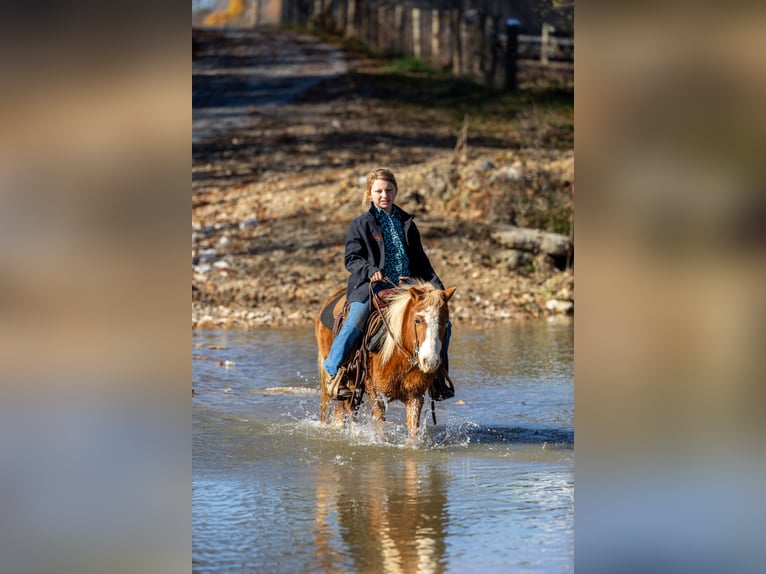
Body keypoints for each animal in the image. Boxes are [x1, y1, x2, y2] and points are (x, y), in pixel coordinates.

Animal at [315, 280, 456, 445]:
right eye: (417, 320)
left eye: (445, 322)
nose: (430, 361)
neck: (399, 358)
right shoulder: (378, 397)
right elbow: (381, 433)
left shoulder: (415, 397)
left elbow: (413, 434)